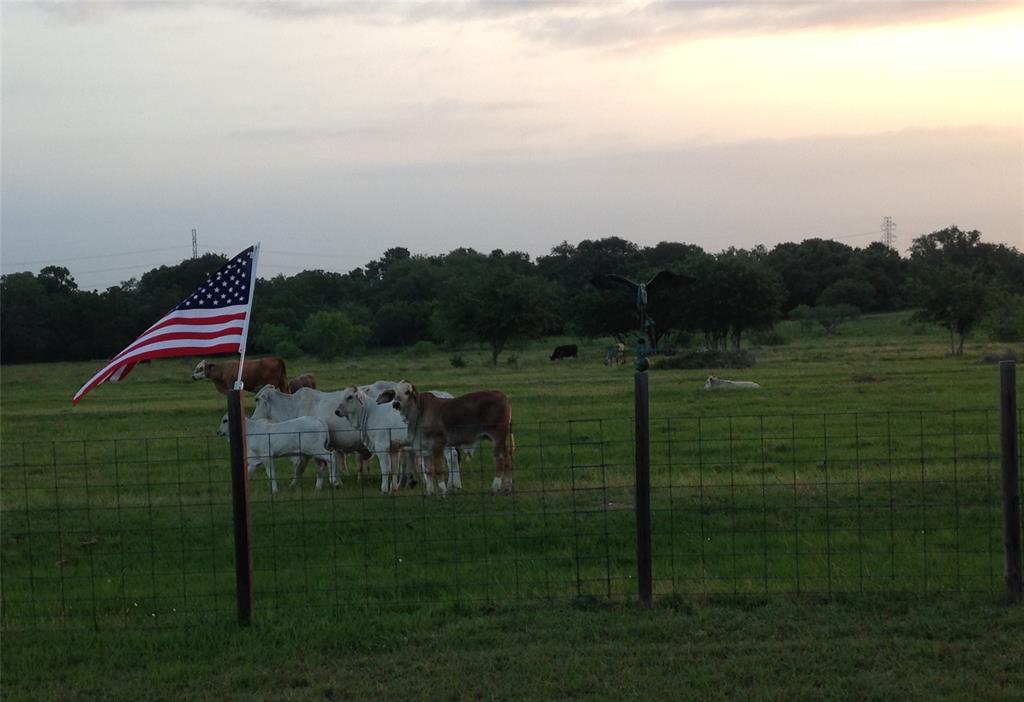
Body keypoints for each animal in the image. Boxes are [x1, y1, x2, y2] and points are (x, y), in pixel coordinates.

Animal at [374, 384, 512, 495]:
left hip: (497, 438)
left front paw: (443, 490)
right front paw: (429, 492)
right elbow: (428, 470)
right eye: (394, 393)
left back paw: (495, 488)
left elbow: (439, 469)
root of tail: (501, 395)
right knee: (507, 460)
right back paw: (507, 487)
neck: (419, 413)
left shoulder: (438, 445)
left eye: (407, 392)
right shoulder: (425, 448)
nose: (396, 403)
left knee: (500, 461)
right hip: (503, 440)